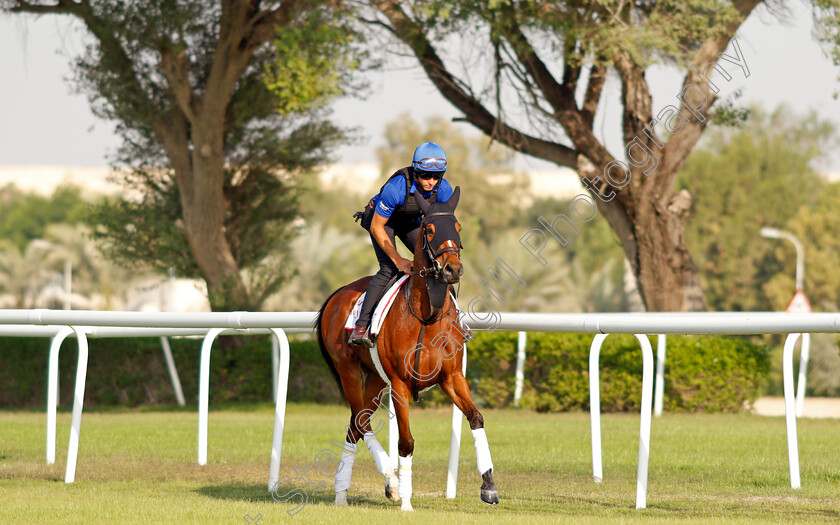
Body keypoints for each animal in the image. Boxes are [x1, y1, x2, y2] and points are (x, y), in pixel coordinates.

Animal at [316, 186, 498, 510]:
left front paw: (488, 485)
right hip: (347, 368)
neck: (427, 316)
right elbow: (406, 442)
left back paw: (344, 493)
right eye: (430, 228)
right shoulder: (400, 384)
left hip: (376, 378)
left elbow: (475, 417)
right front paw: (407, 501)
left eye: (458, 226)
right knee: (361, 421)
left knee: (356, 423)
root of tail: (336, 294)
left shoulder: (451, 377)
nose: (452, 269)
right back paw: (388, 481)